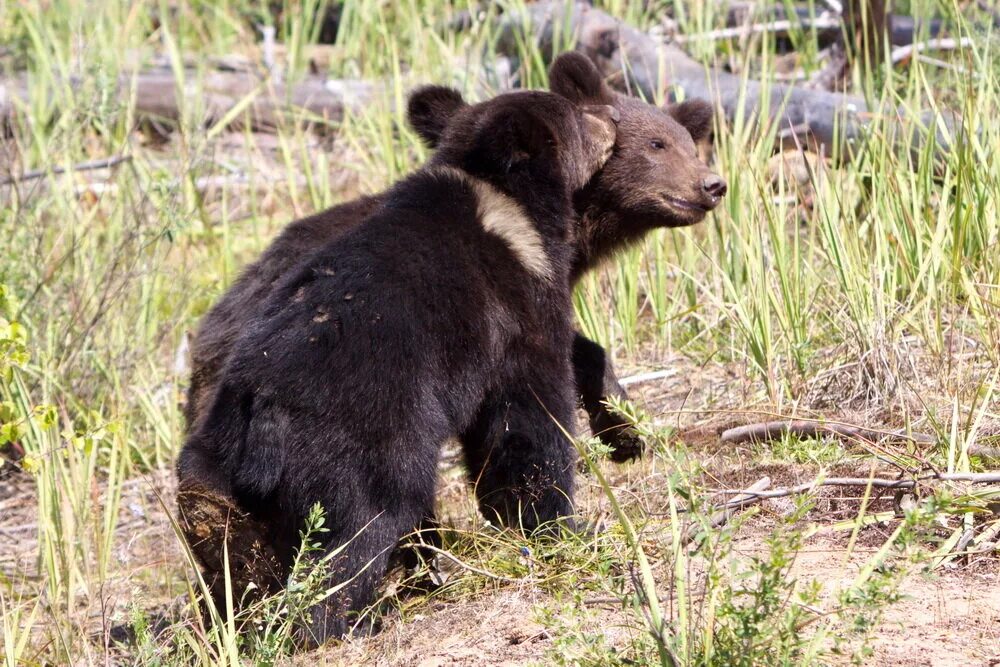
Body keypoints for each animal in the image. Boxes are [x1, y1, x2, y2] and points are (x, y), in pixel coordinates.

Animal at [178, 81, 616, 644]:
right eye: (576, 116)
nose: (610, 117)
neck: (505, 207)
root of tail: (263, 412)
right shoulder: (513, 309)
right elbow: (527, 420)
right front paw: (557, 524)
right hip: (366, 439)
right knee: (359, 529)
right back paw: (343, 620)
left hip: (219, 455)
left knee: (231, 532)